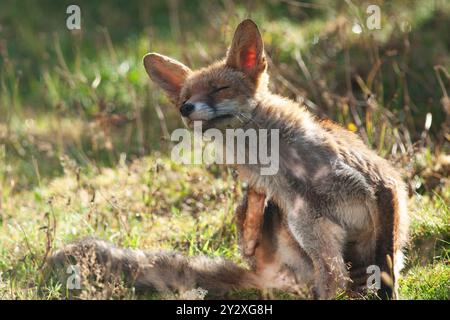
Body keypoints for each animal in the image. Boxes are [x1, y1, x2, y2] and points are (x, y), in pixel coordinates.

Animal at [48, 19, 408, 300]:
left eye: (219, 89)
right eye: (185, 97)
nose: (186, 109)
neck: (294, 171)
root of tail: (269, 278)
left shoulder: (380, 185)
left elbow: (386, 266)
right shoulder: (315, 232)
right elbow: (333, 282)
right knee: (256, 240)